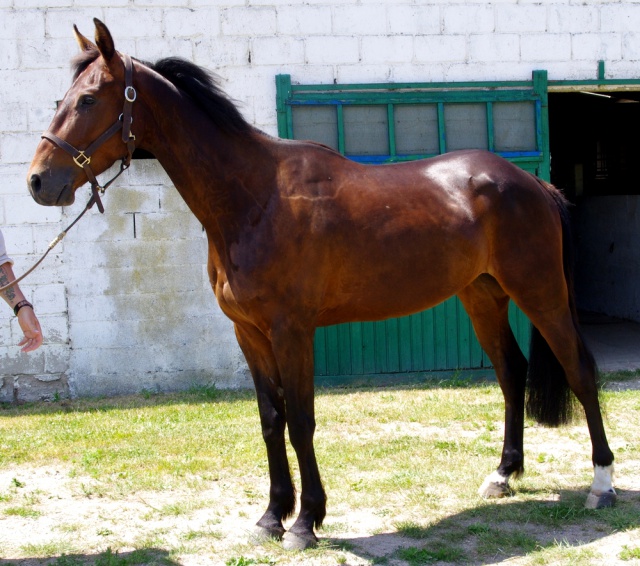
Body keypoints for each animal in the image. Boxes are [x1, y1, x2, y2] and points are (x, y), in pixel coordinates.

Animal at [28, 20, 616, 552]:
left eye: (87, 100)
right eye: (63, 97)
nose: (38, 180)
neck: (253, 198)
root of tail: (531, 182)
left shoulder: (292, 331)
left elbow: (302, 421)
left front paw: (306, 522)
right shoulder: (249, 334)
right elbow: (271, 420)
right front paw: (271, 516)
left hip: (540, 293)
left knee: (579, 370)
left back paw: (602, 484)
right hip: (483, 297)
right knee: (512, 372)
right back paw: (502, 475)